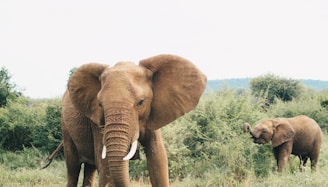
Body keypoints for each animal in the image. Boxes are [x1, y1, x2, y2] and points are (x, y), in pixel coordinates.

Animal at [60, 54, 206, 187]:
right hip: (65, 128)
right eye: (100, 104)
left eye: (141, 102)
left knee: (90, 168)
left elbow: (158, 158)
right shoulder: (97, 121)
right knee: (73, 167)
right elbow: (105, 165)